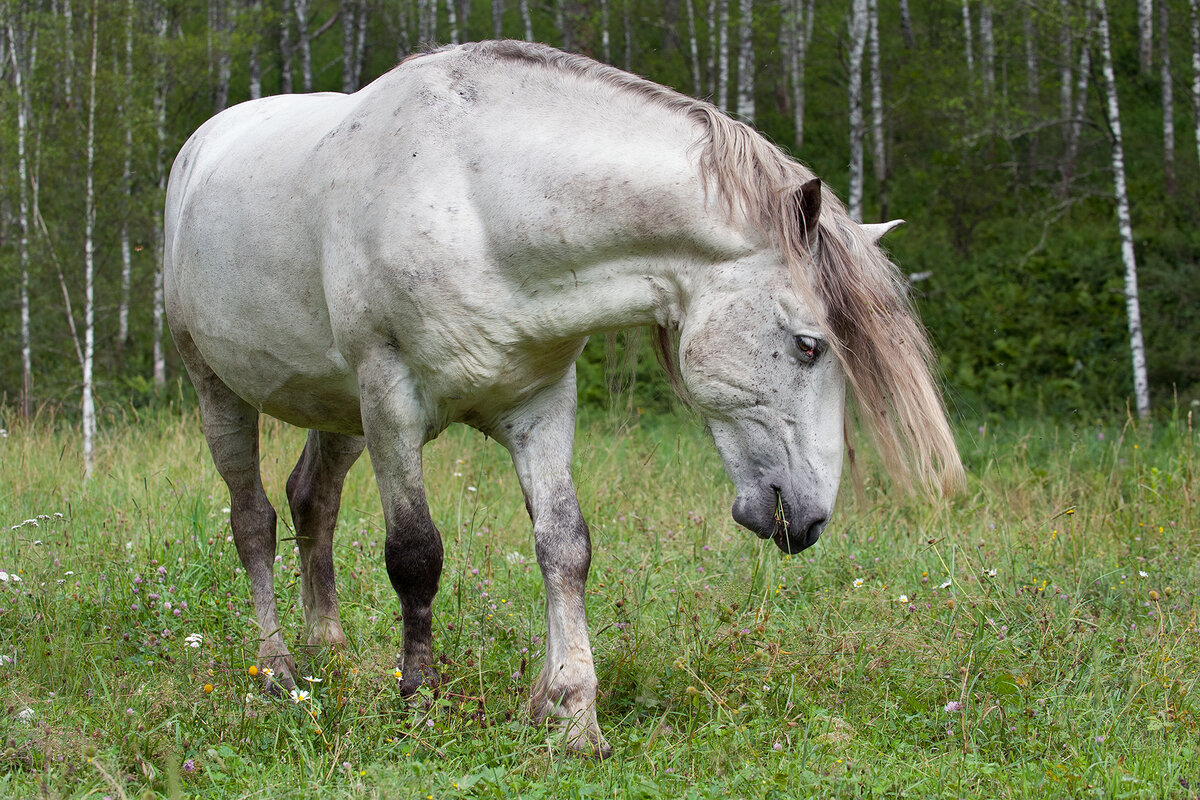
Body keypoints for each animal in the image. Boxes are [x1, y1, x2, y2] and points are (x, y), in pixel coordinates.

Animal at [164, 42, 960, 758]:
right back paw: (278, 671)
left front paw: (572, 716)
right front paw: (420, 703)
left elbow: (564, 547)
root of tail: (201, 146)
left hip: (340, 412)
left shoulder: (540, 405)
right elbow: (415, 554)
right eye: (808, 346)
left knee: (312, 502)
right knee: (254, 522)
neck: (475, 200)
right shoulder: (391, 397)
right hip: (225, 393)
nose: (811, 518)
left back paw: (326, 650)